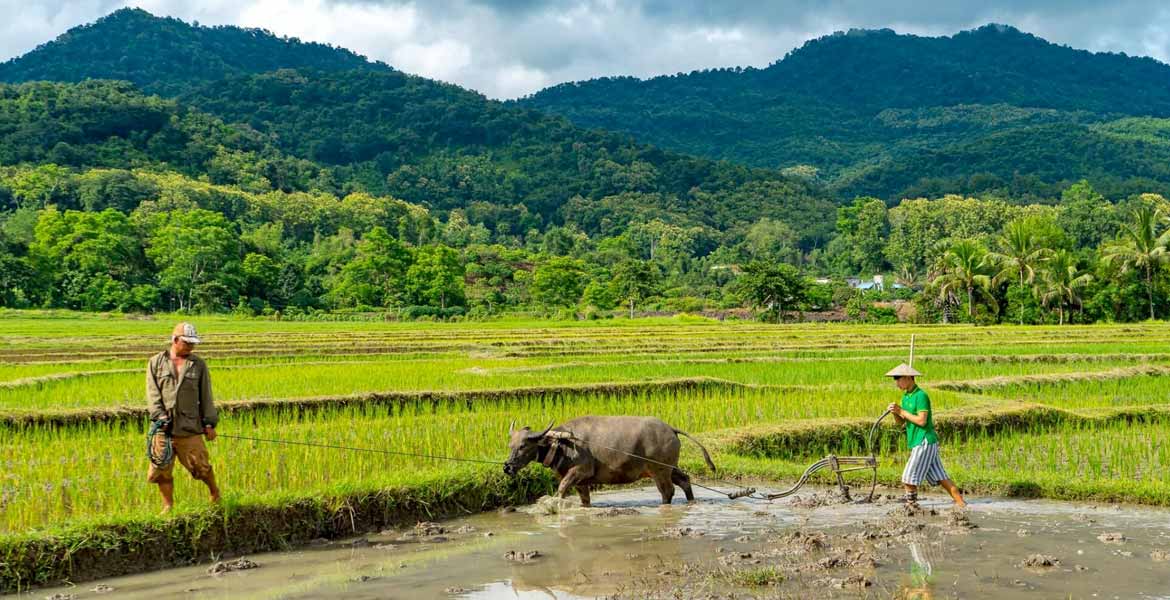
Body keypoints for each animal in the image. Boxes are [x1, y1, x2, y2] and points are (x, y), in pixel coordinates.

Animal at [500, 416, 711, 505]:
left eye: (523, 446)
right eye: (510, 445)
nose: (507, 467)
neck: (562, 443)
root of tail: (670, 429)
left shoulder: (580, 471)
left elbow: (561, 490)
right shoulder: (581, 482)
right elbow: (584, 500)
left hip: (659, 471)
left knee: (668, 491)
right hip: (669, 467)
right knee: (685, 480)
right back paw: (692, 501)